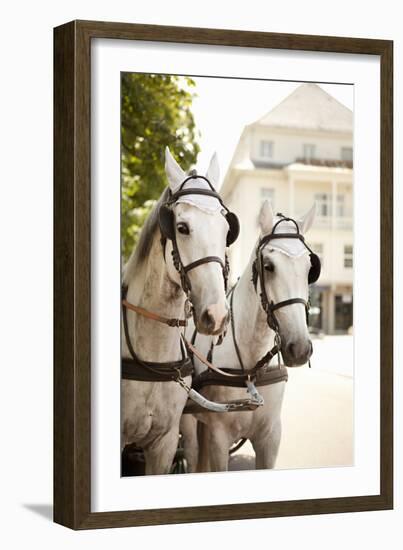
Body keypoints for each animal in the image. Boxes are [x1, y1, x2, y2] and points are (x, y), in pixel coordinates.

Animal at [183, 203, 318, 474]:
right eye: (268, 266)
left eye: (310, 270)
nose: (299, 349)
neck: (251, 369)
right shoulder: (218, 437)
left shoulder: (270, 438)